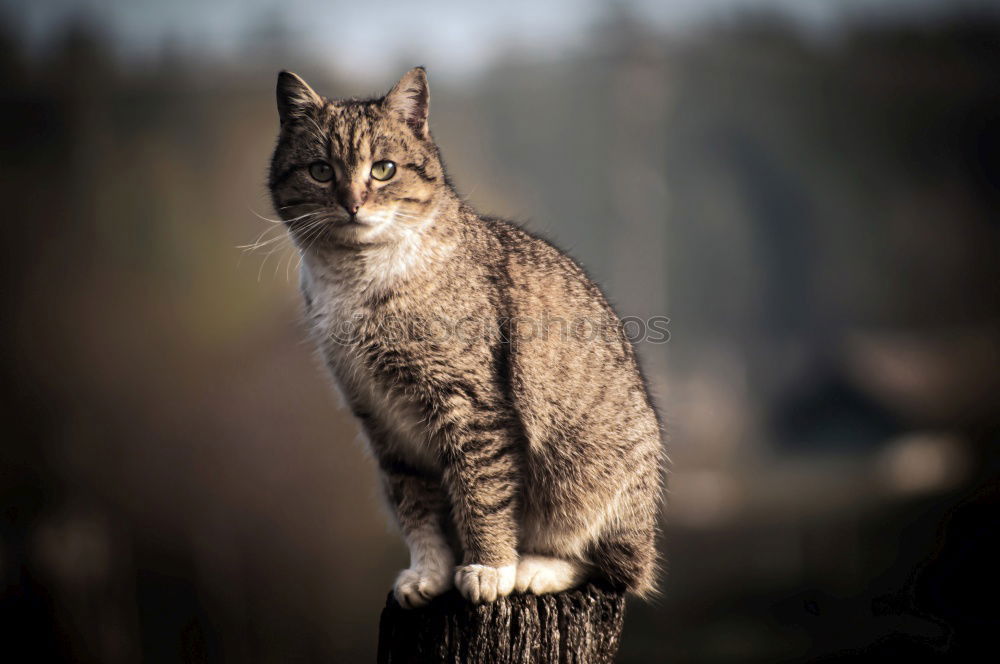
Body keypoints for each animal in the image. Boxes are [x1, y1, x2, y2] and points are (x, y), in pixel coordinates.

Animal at [266, 67, 664, 608]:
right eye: (321, 171)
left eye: (384, 169)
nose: (352, 204)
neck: (355, 277)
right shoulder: (381, 419)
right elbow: (415, 506)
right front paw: (429, 571)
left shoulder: (470, 403)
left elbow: (482, 490)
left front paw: (489, 567)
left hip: (583, 470)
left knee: (611, 566)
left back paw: (534, 567)